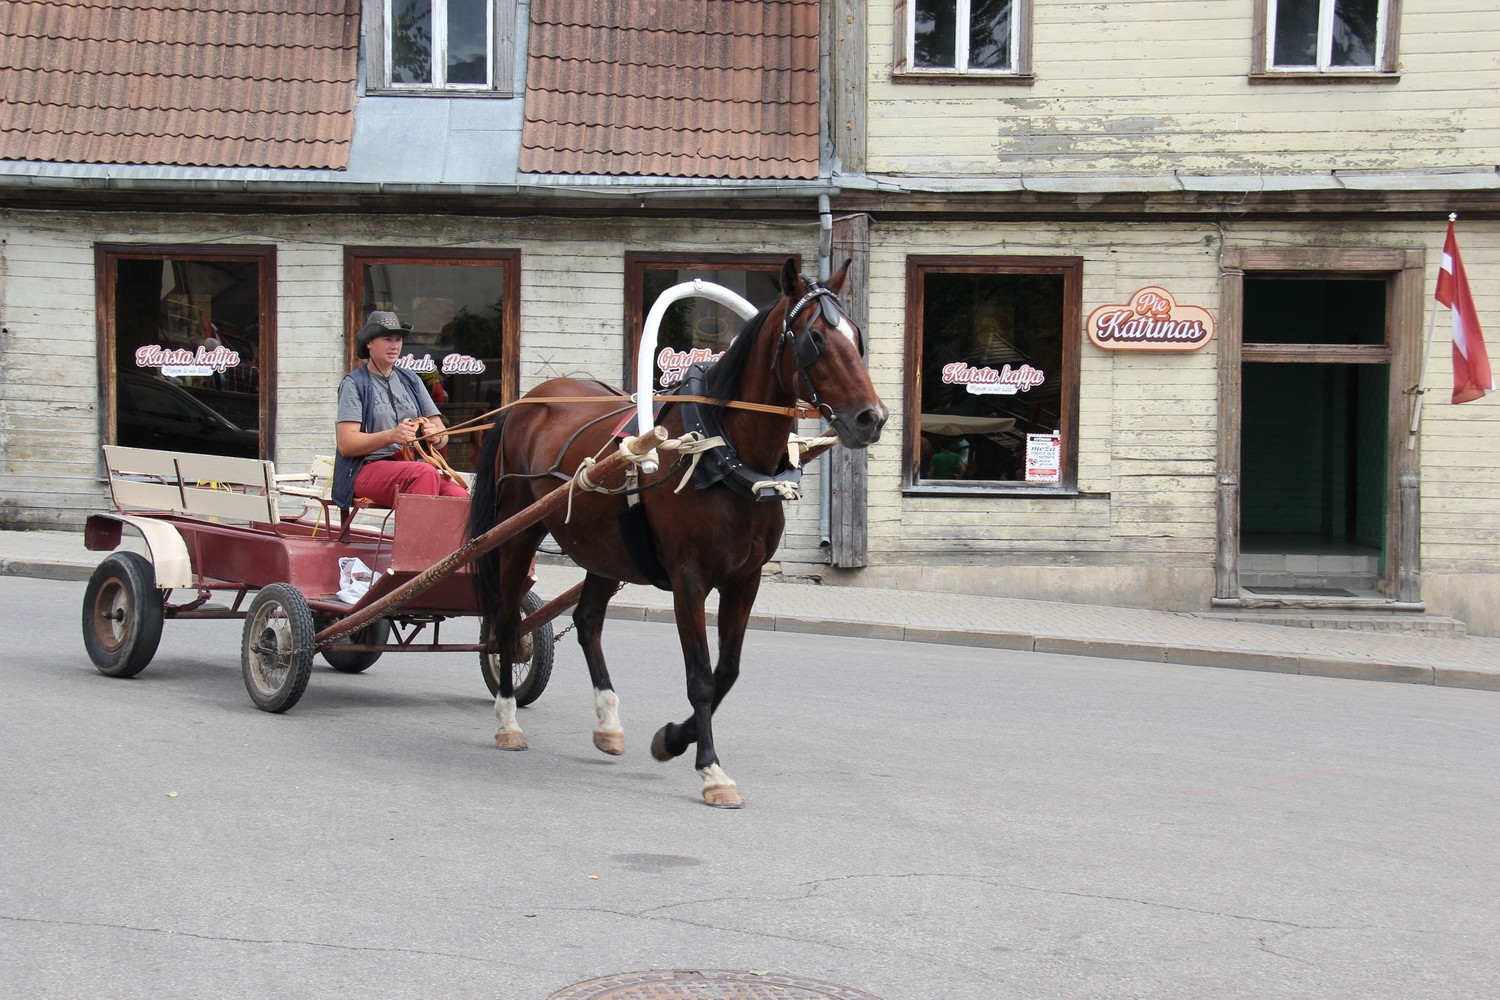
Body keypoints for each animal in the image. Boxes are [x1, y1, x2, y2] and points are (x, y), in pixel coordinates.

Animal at [468, 257, 882, 803]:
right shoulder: (690, 580)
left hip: (606, 550)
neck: (722, 454)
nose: (871, 418)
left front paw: (672, 739)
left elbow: (727, 672)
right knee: (507, 620)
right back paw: (508, 718)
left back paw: (608, 722)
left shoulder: (744, 580)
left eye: (856, 336)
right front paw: (711, 769)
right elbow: (701, 676)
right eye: (814, 337)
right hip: (517, 533)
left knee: (587, 622)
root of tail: (527, 402)